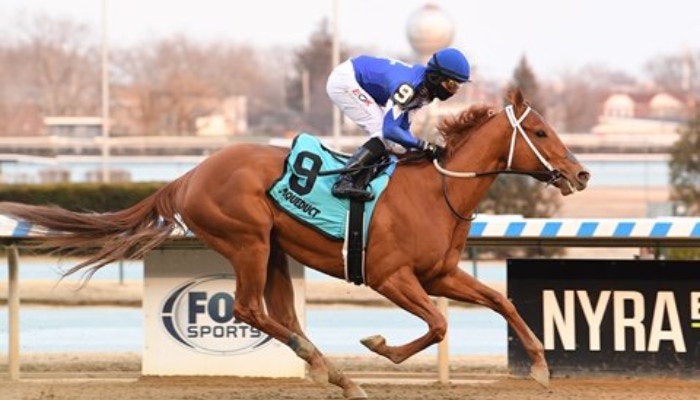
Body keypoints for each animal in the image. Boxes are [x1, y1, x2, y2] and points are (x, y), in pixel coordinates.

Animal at [0, 88, 589, 399]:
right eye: (540, 133)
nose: (580, 174)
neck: (436, 189)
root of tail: (188, 175)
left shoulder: (439, 274)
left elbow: (500, 301)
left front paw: (541, 367)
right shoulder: (390, 277)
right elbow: (439, 325)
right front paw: (379, 346)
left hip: (276, 251)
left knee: (279, 313)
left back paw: (333, 372)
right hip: (248, 240)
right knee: (248, 309)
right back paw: (332, 370)